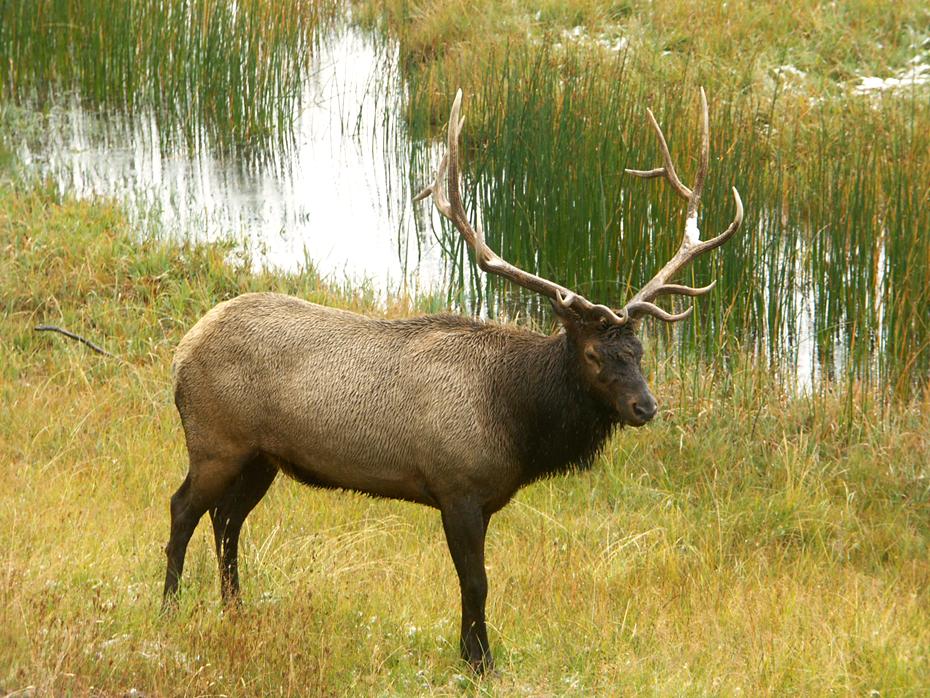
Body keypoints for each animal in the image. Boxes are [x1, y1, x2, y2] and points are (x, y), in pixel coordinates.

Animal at [162, 88, 743, 673]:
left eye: (639, 351)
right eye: (595, 353)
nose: (645, 407)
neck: (518, 423)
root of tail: (182, 352)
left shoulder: (481, 500)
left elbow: (474, 584)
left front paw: (472, 652)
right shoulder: (456, 487)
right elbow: (476, 583)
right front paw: (479, 660)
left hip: (263, 456)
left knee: (227, 520)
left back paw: (235, 608)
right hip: (215, 441)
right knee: (185, 508)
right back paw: (170, 606)